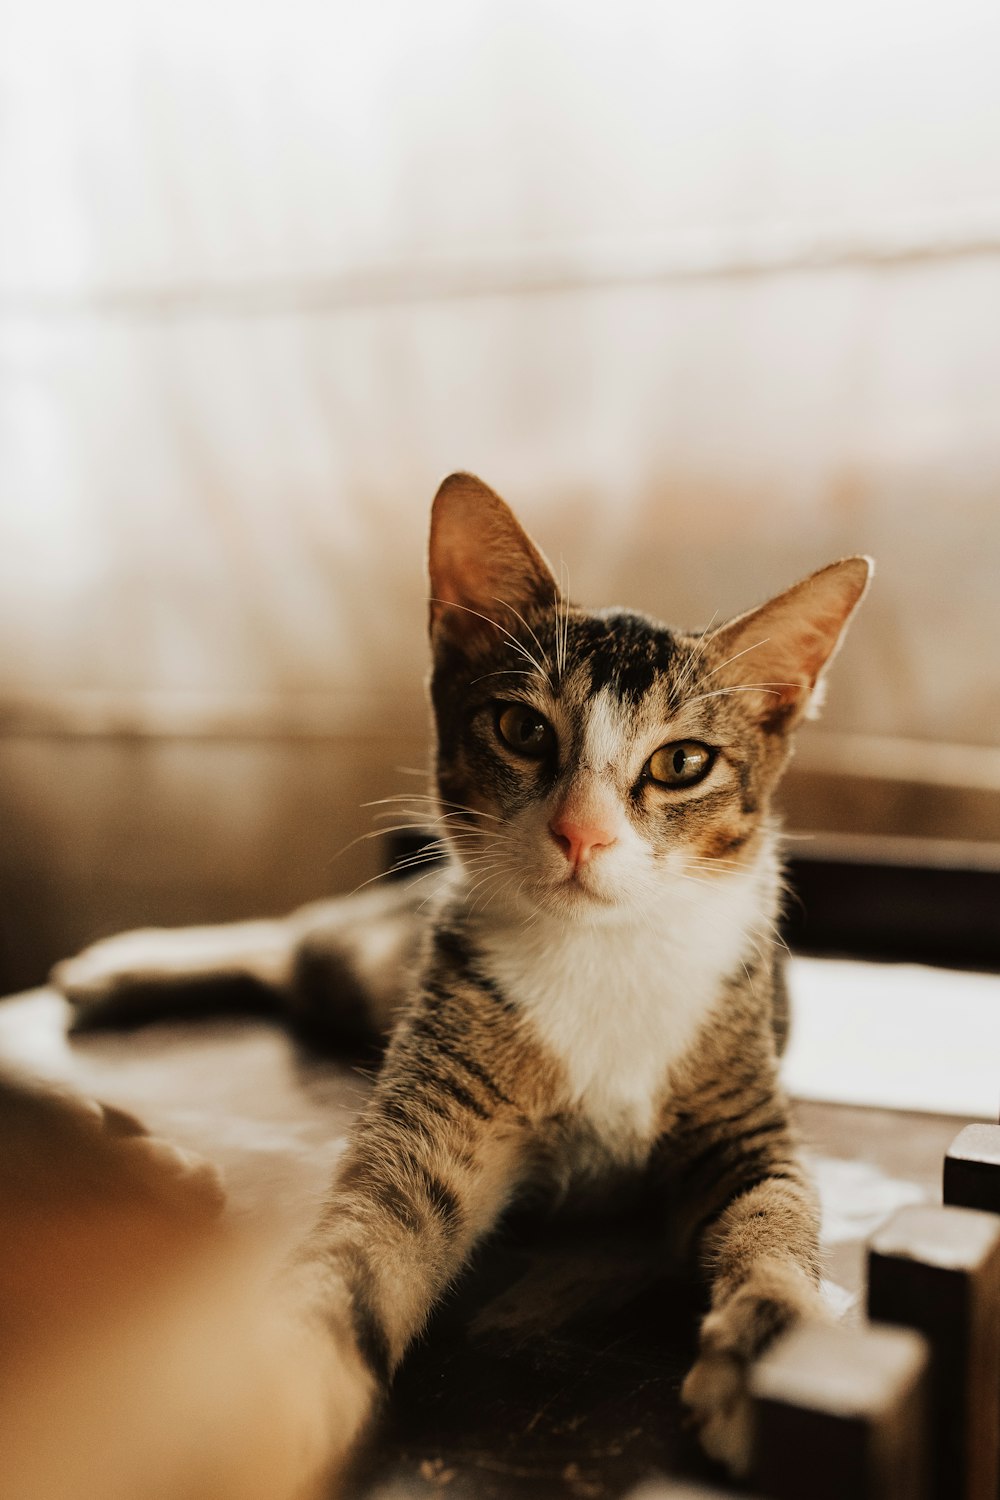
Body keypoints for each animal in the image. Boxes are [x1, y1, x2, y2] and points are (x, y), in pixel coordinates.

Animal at [54, 474, 869, 1482]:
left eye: (683, 762)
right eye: (521, 727)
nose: (582, 833)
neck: (600, 950)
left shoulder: (744, 1114)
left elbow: (774, 1211)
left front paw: (772, 1343)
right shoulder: (433, 1113)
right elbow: (366, 1244)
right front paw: (272, 1395)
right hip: (372, 963)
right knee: (295, 938)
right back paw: (126, 966)